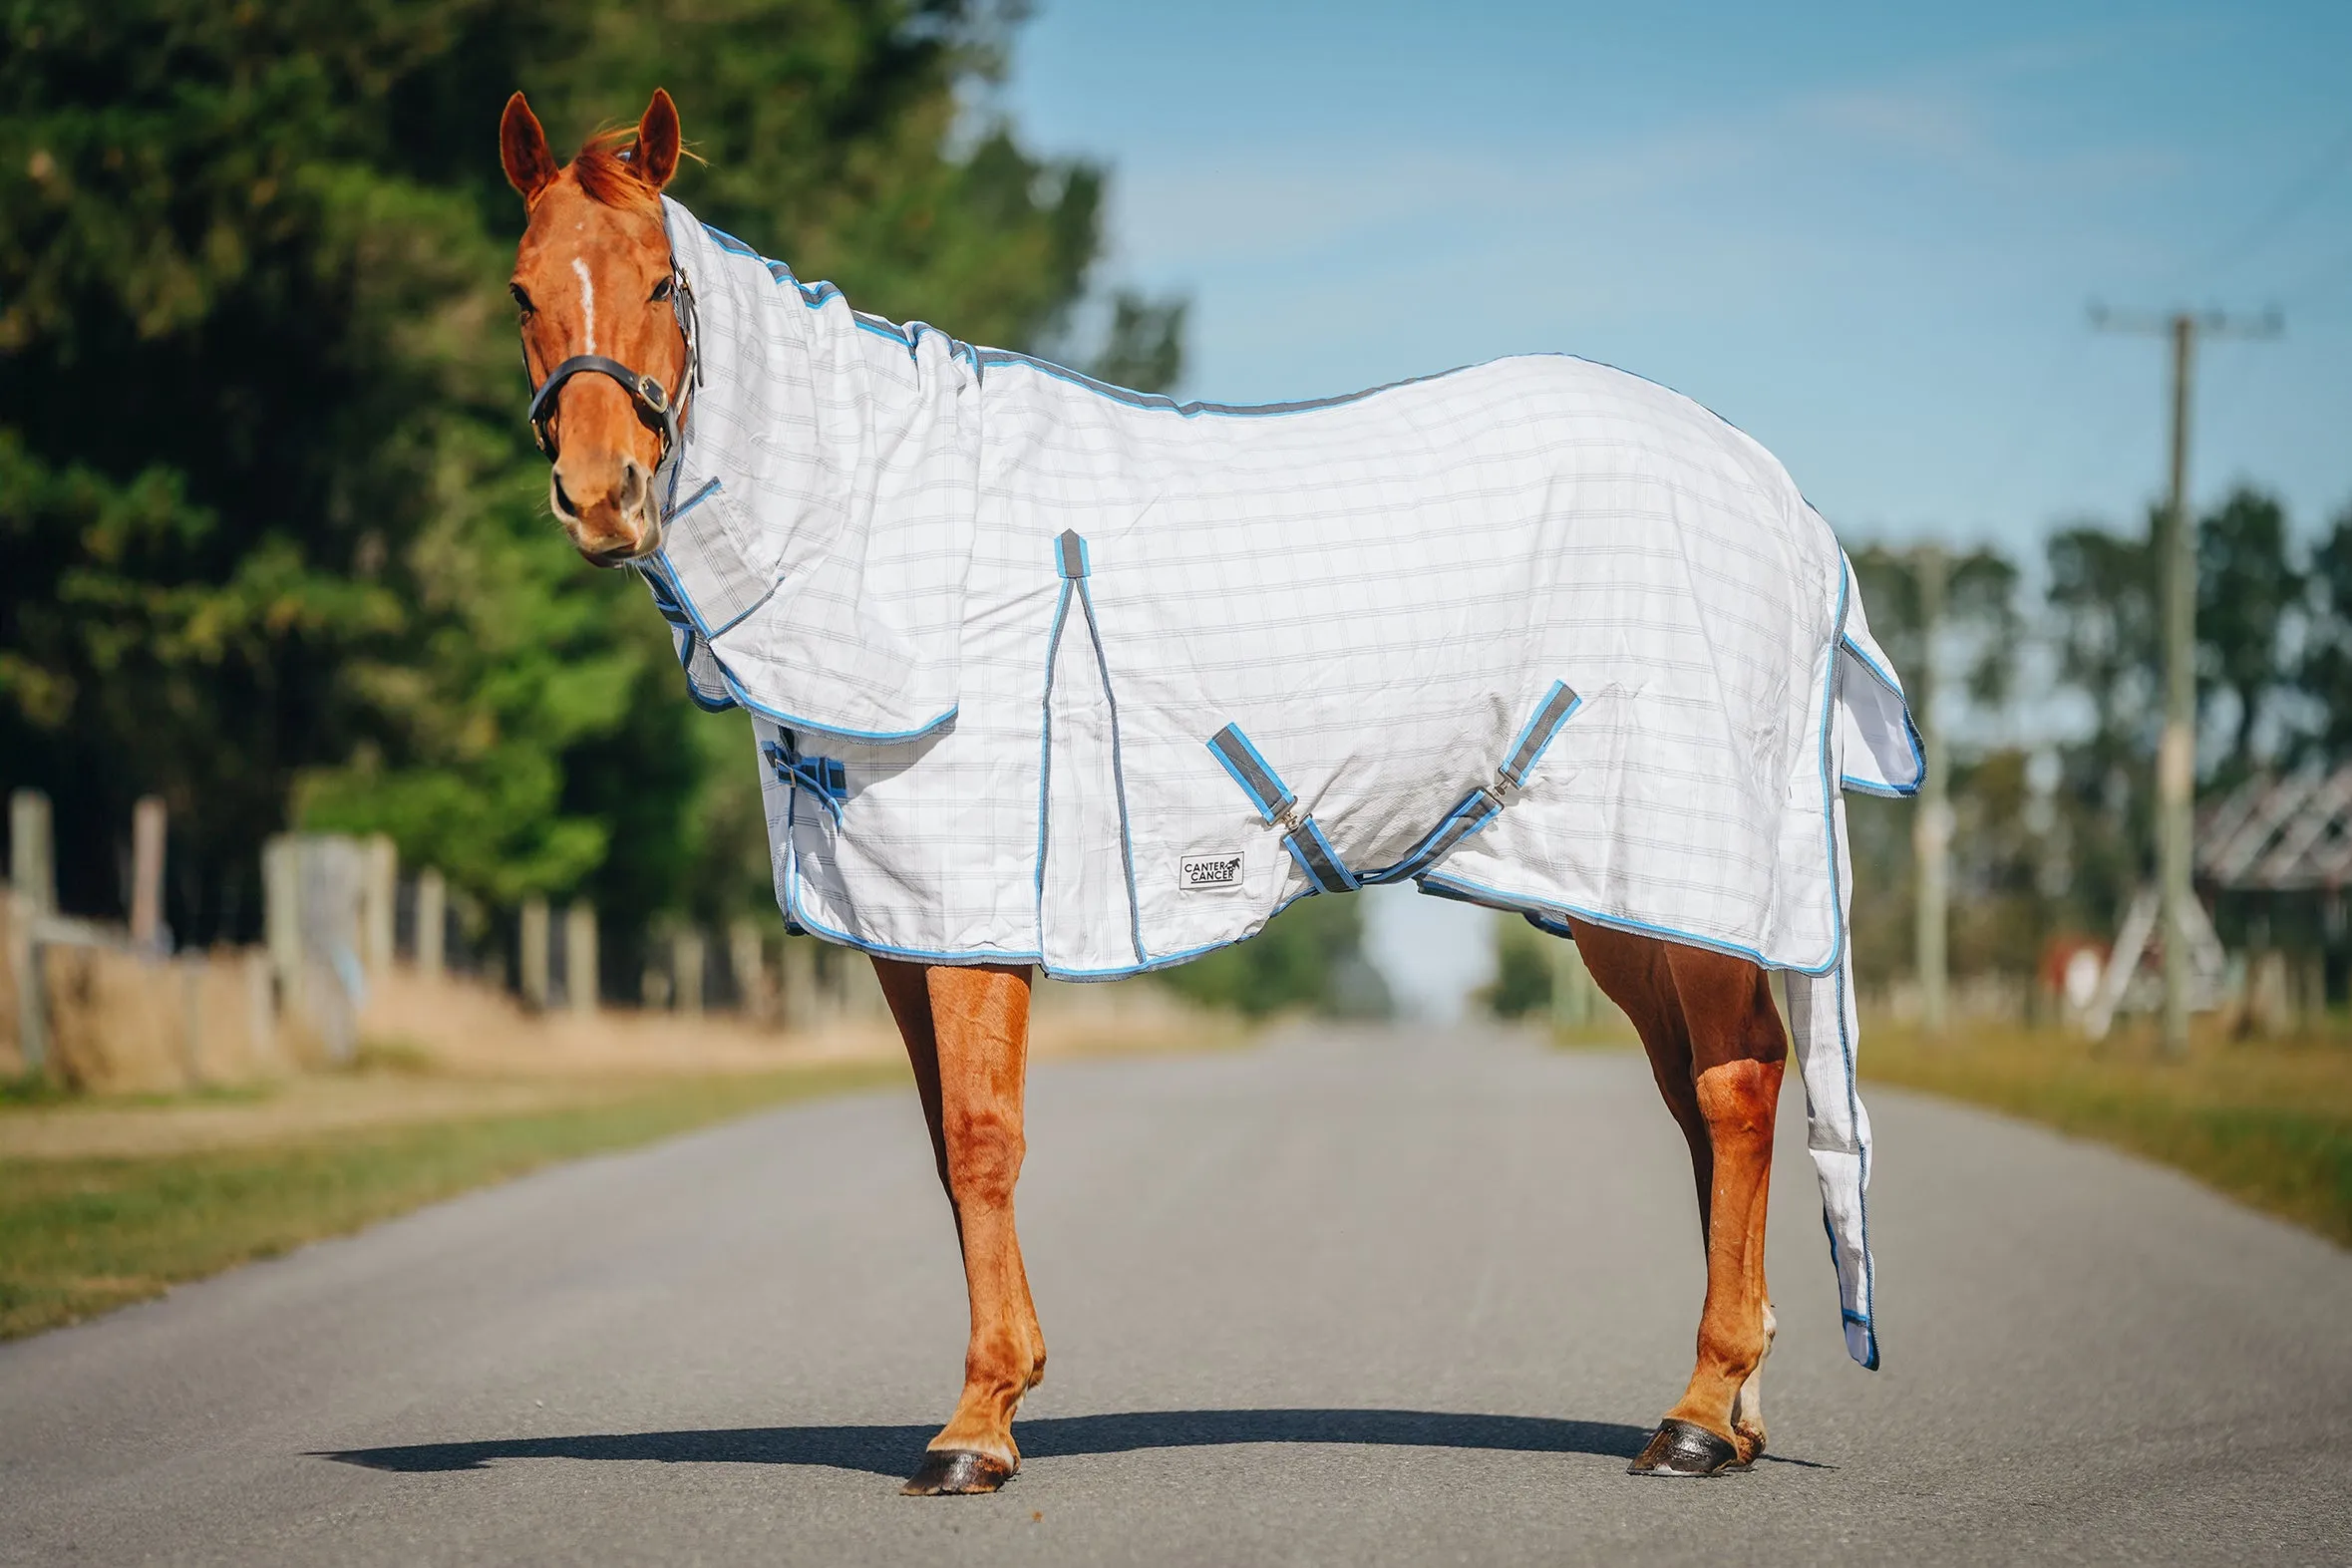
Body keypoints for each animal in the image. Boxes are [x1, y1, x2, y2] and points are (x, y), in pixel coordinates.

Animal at [509, 89, 1797, 1494]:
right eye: (523, 291)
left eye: (660, 280)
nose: (601, 498)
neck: (886, 529)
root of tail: (1762, 483)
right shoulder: (903, 921)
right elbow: (946, 1144)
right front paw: (1001, 1392)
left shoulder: (976, 910)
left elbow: (984, 1139)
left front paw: (976, 1426)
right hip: (1623, 897)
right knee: (1702, 1090)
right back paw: (1733, 1408)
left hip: (1668, 867)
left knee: (1735, 1088)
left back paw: (1699, 1411)